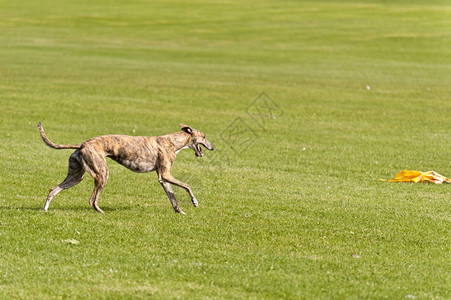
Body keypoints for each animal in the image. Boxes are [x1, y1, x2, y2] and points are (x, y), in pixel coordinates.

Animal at [38, 123, 215, 214]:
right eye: (204, 136)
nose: (213, 148)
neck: (172, 142)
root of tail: (82, 144)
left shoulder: (163, 178)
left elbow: (173, 198)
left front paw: (180, 212)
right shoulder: (166, 174)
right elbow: (188, 185)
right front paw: (194, 202)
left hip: (75, 176)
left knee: (53, 190)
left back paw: (45, 209)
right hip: (102, 174)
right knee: (92, 200)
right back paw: (101, 212)